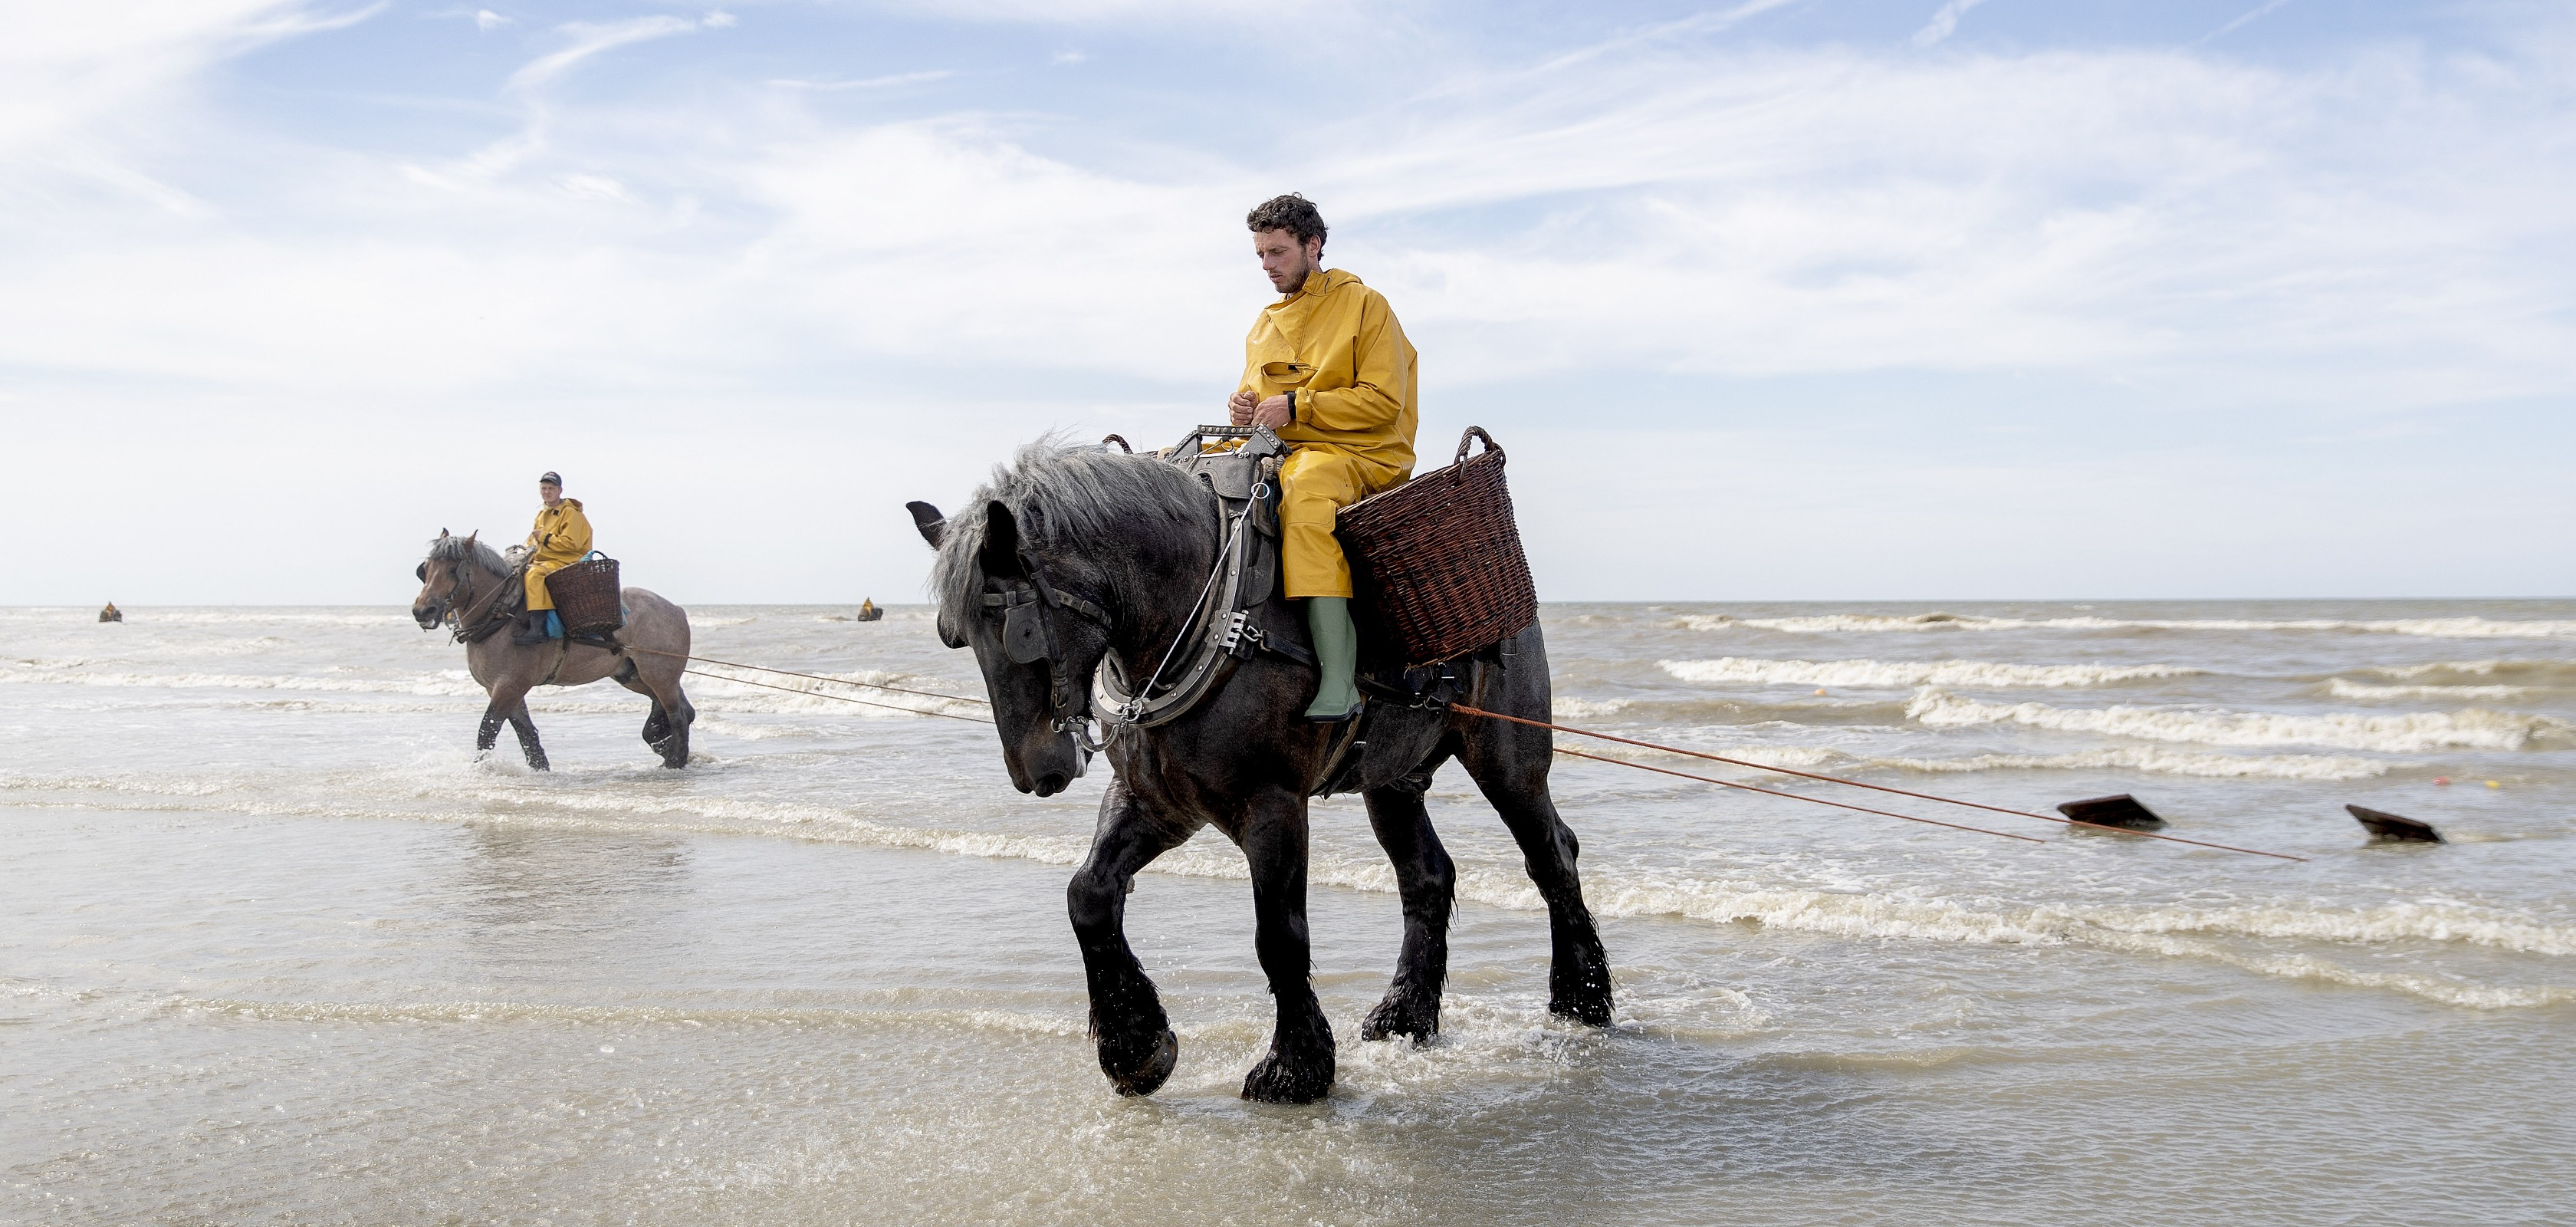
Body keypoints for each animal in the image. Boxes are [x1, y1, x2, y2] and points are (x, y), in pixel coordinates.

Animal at [912, 446, 1607, 1108]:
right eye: (956, 636)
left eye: (1020, 630)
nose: (1037, 769)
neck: (1200, 613)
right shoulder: (1157, 802)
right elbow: (1088, 895)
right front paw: (1134, 1045)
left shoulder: (1272, 805)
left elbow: (1279, 934)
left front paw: (1293, 1067)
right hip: (1390, 780)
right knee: (1427, 877)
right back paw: (1404, 1017)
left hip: (1507, 758)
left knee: (1553, 855)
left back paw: (1583, 998)